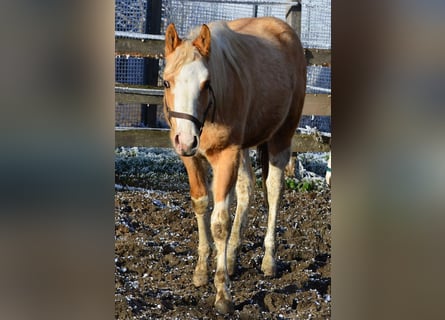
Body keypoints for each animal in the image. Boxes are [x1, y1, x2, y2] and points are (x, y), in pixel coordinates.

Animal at [162, 16, 306, 314]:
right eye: (167, 83)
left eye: (206, 83)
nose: (186, 139)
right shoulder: (190, 158)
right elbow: (201, 204)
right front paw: (201, 271)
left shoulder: (226, 155)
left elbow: (220, 222)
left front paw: (223, 295)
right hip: (243, 147)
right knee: (246, 189)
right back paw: (231, 257)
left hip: (281, 137)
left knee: (273, 190)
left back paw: (268, 261)